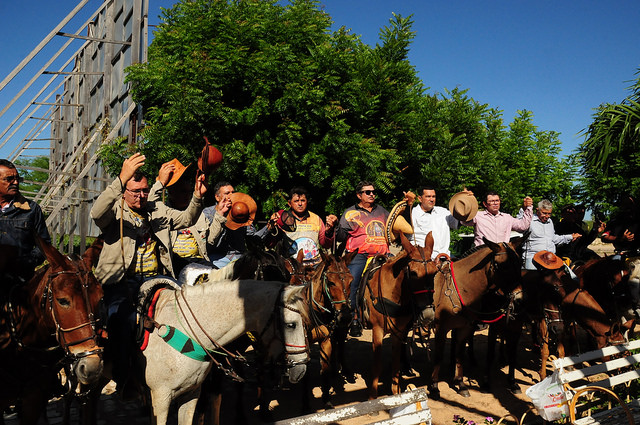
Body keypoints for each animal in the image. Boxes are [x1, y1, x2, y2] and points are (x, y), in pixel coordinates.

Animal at [360, 230, 440, 400]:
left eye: (435, 272)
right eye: (414, 273)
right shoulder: (377, 331)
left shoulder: (399, 331)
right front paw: (372, 398)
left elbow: (396, 364)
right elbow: (377, 365)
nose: (428, 314)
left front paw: (396, 393)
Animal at [430, 235, 524, 398]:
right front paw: (435, 386)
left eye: (519, 264)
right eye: (503, 266)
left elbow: (460, 353)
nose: (518, 297)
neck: (461, 287)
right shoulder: (441, 328)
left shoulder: (465, 327)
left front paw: (461, 384)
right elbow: (438, 356)